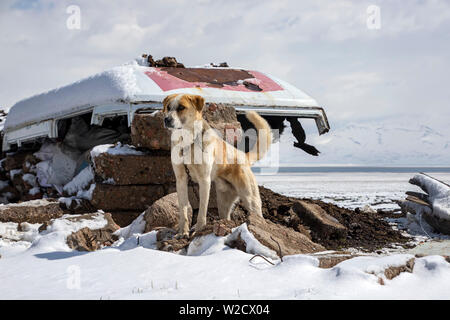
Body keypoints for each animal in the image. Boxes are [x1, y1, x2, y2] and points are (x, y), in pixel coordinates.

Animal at [163, 94, 272, 236]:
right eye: (168, 107)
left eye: (181, 107)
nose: (166, 119)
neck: (187, 143)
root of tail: (243, 156)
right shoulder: (181, 179)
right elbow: (183, 210)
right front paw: (183, 232)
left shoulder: (204, 180)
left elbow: (202, 210)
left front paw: (199, 230)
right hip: (223, 203)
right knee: (226, 216)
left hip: (251, 200)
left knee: (258, 216)